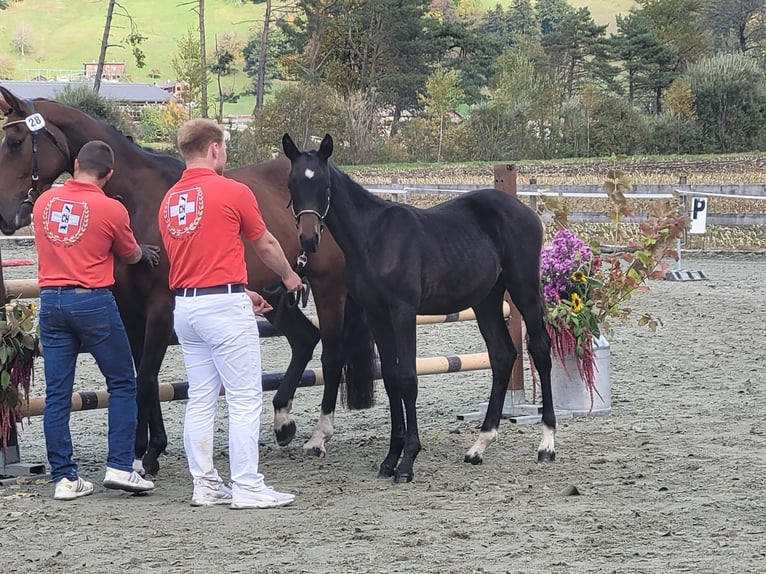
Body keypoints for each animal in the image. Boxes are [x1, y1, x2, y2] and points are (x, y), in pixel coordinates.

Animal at [0, 88, 376, 476]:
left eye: (15, 142)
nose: (5, 214)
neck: (140, 199)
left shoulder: (161, 306)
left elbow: (147, 378)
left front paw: (145, 454)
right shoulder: (130, 310)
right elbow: (142, 377)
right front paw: (147, 450)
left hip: (329, 289)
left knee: (331, 354)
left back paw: (319, 436)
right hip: (273, 294)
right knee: (304, 338)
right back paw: (282, 421)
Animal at [284, 133, 560, 484]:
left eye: (323, 183)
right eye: (292, 183)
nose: (308, 240)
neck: (373, 238)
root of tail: (526, 211)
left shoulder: (403, 312)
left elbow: (408, 378)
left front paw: (407, 461)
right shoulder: (377, 314)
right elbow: (391, 379)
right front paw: (390, 458)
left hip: (523, 287)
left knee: (539, 348)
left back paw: (547, 444)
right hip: (485, 300)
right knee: (502, 355)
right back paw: (479, 446)